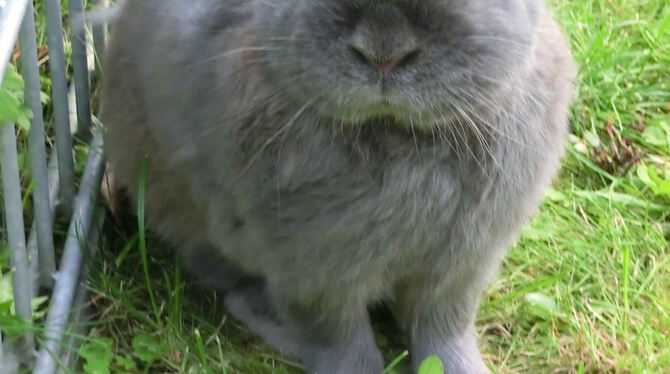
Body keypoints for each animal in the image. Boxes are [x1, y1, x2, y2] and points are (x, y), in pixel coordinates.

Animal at [101, 1, 576, 372]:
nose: (383, 52)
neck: (392, 131)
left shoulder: (461, 265)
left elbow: (444, 331)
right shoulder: (313, 273)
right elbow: (342, 340)